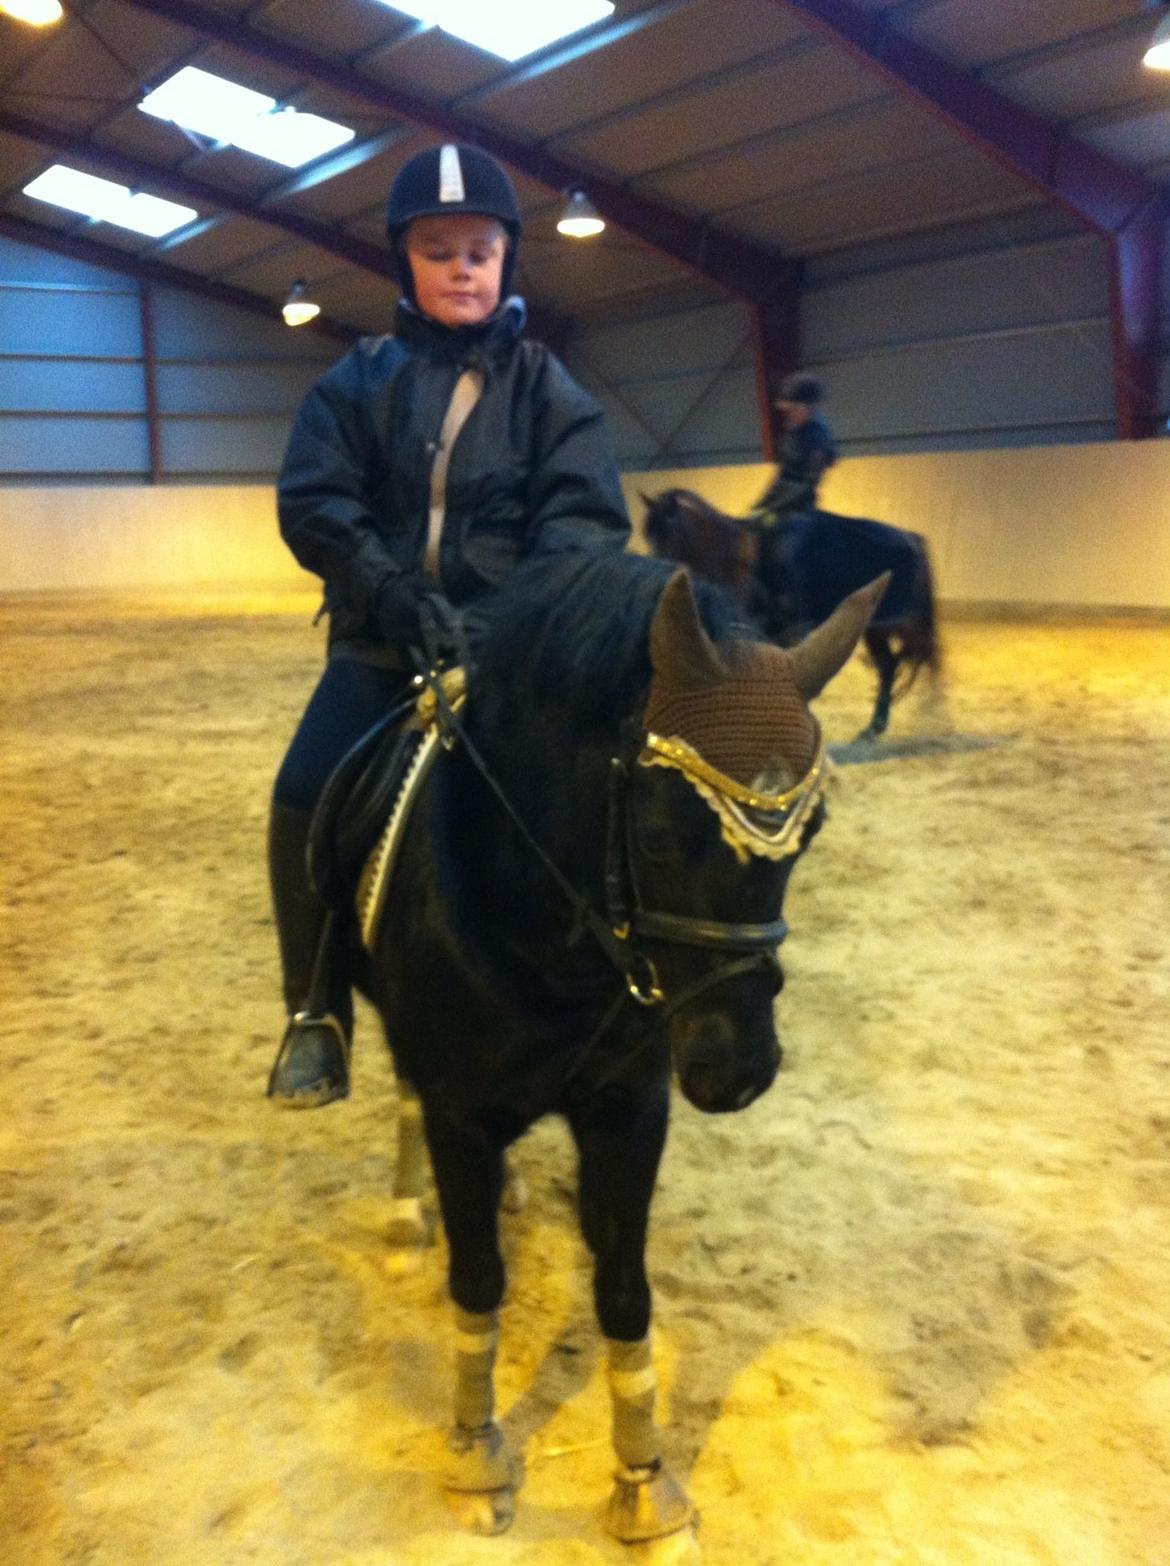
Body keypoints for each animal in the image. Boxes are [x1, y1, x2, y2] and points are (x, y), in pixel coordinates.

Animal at [345, 550, 887, 1544]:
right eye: (662, 832)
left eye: (811, 834)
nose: (739, 1070)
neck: (550, 949)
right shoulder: (460, 1114)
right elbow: (477, 1280)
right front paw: (476, 1458)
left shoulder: (631, 1109)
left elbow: (626, 1292)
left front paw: (646, 1487)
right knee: (403, 1094)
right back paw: (406, 1221)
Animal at [642, 487, 941, 742]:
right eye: (649, 537)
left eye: (669, 533)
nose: (658, 584)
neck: (737, 559)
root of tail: (911, 538)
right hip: (874, 628)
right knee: (890, 665)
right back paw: (874, 728)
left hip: (901, 623)